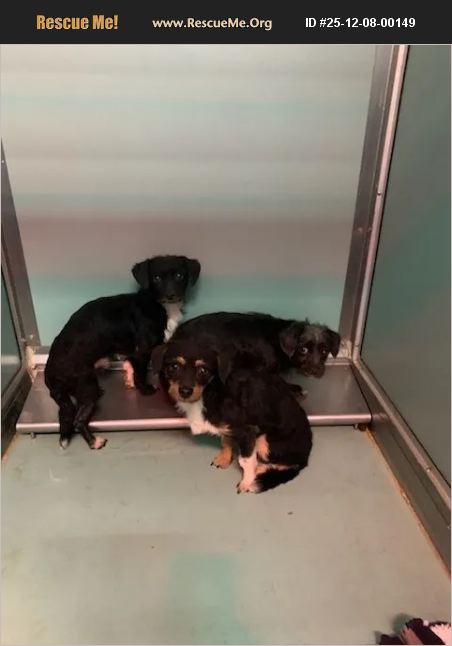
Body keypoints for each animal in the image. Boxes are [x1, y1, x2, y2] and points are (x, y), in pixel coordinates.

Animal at [44, 255, 200, 450]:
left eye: (179, 275)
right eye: (156, 278)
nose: (171, 295)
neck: (159, 304)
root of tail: (51, 373)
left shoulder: (133, 354)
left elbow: (133, 370)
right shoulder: (142, 351)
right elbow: (141, 373)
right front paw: (145, 389)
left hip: (69, 396)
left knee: (65, 415)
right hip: (87, 387)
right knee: (78, 420)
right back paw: (94, 442)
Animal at [153, 339, 313, 493]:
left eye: (203, 370)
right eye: (174, 366)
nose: (185, 391)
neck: (209, 393)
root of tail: (307, 454)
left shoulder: (247, 432)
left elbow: (246, 461)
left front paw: (246, 483)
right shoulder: (229, 429)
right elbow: (226, 440)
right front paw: (224, 458)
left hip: (264, 441)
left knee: (290, 464)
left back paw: (261, 470)